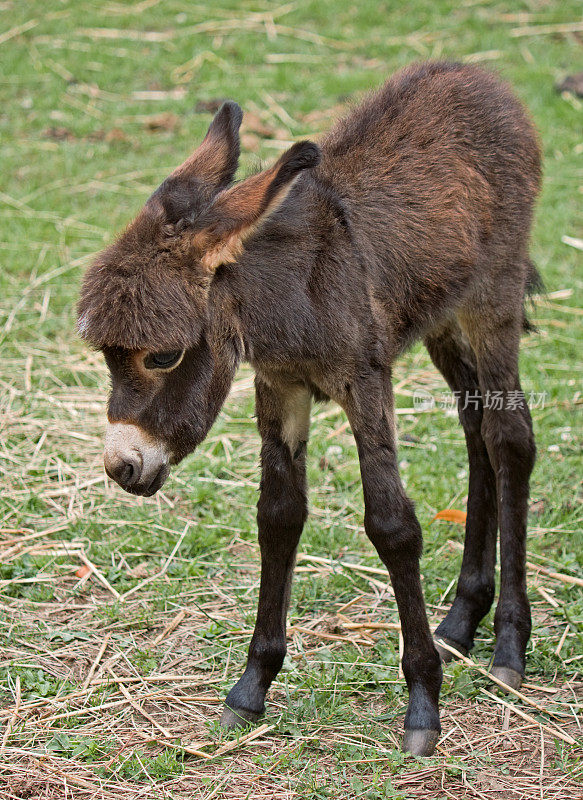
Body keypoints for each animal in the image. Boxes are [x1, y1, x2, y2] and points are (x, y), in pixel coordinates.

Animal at [78, 62, 544, 756]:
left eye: (161, 356)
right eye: (108, 358)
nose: (122, 468)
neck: (290, 296)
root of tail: (476, 75)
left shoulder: (365, 381)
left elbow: (393, 525)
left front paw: (422, 704)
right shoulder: (281, 387)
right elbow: (278, 516)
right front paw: (251, 688)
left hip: (494, 296)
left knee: (510, 437)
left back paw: (509, 646)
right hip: (440, 314)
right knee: (474, 425)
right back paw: (462, 618)